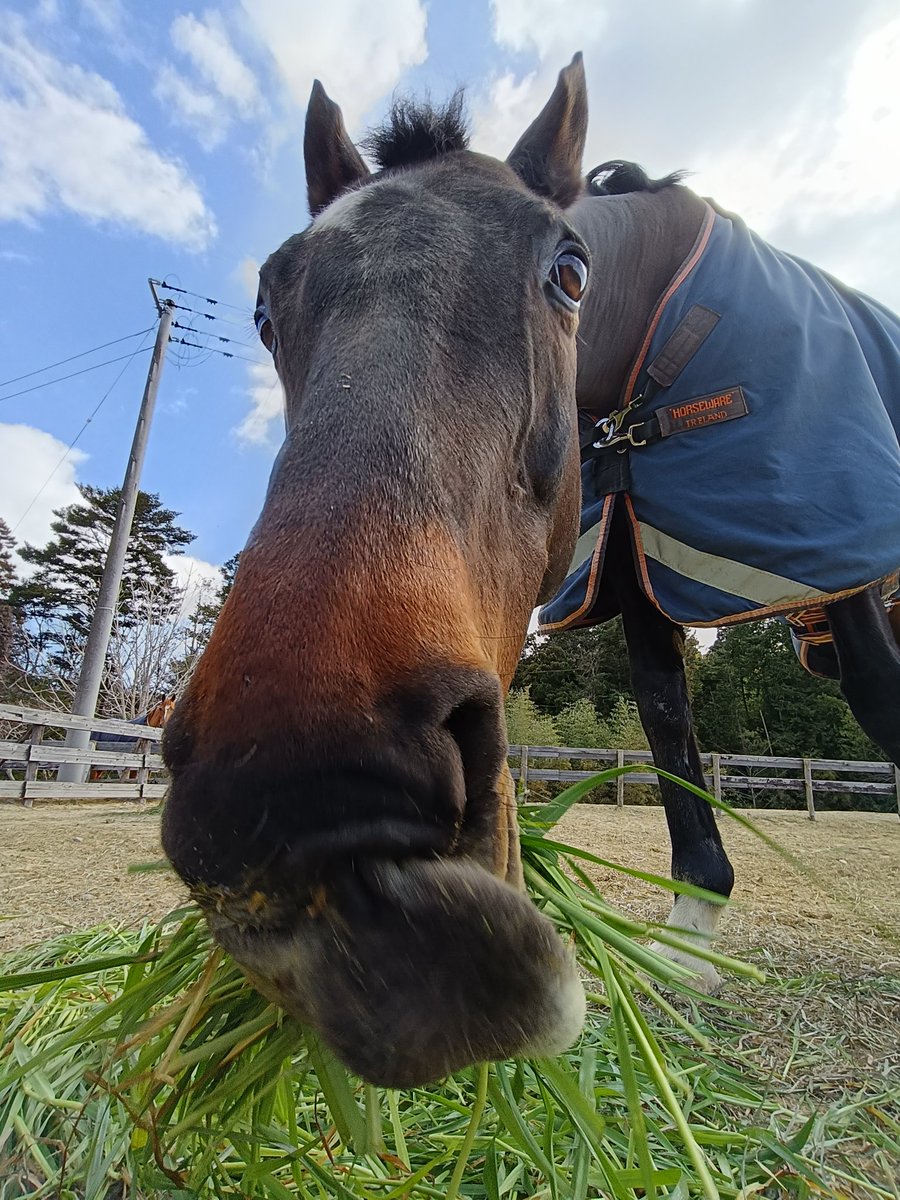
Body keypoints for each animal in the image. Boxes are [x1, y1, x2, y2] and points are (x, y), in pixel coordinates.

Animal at [160, 55, 900, 1088]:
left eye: (569, 272)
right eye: (266, 308)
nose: (306, 804)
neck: (659, 338)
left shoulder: (854, 579)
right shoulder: (639, 582)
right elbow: (673, 750)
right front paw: (688, 948)